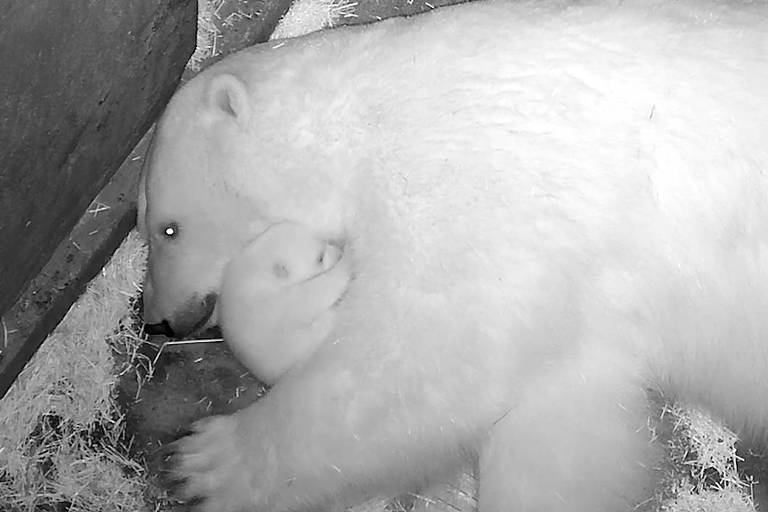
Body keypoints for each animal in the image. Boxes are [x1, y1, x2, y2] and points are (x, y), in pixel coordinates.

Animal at [219, 220, 352, 384]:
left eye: (323, 240)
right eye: (320, 258)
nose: (339, 251)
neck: (256, 267)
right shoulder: (270, 304)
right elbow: (310, 298)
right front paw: (348, 258)